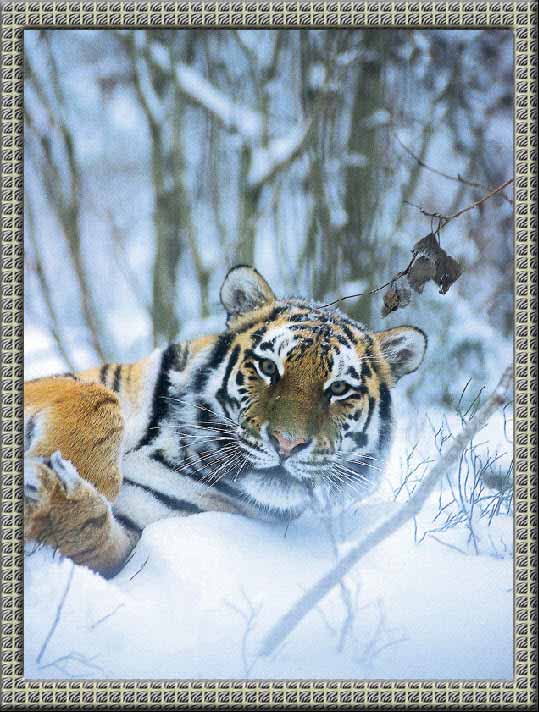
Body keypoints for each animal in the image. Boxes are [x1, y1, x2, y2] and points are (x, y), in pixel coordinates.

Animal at [24, 265, 427, 577]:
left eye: (339, 389)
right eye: (268, 367)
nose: (287, 443)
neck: (178, 444)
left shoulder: (136, 532)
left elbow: (91, 537)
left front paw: (52, 490)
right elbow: (97, 396)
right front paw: (90, 471)